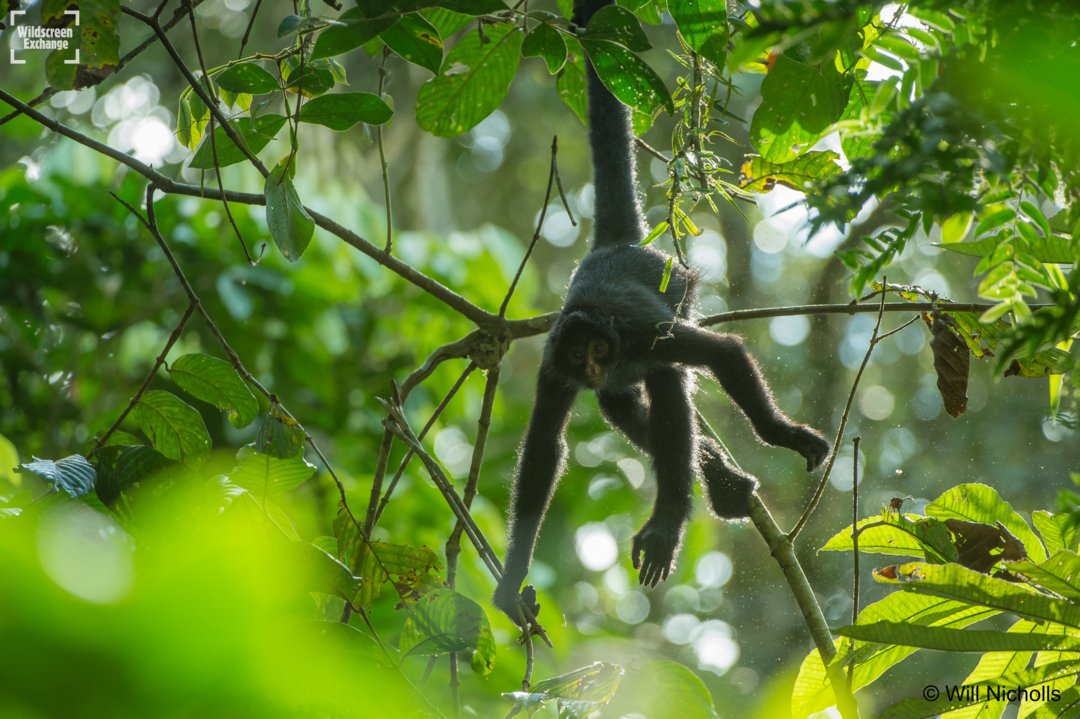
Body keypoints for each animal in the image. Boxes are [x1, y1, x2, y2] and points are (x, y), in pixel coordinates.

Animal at [492, 0, 830, 626]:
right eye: (579, 353)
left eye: (601, 347)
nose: (595, 365)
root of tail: (618, 246)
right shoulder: (554, 365)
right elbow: (544, 454)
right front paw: (511, 580)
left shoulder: (641, 335)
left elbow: (723, 353)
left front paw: (783, 435)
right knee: (622, 405)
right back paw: (718, 477)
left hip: (679, 295)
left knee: (669, 382)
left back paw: (672, 518)